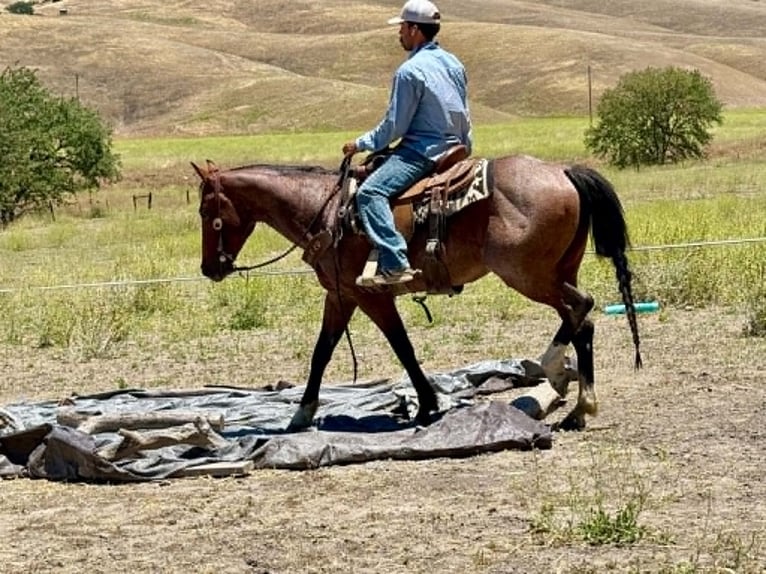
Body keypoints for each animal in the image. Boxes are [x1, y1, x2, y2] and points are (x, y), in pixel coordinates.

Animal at [191, 152, 642, 431]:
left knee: (581, 310)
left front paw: (427, 404)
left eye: (205, 211)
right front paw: (301, 414)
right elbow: (322, 352)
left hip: (528, 275)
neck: (327, 210)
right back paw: (574, 400)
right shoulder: (340, 296)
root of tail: (563, 171)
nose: (209, 268)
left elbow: (402, 347)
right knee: (580, 318)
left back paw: (567, 387)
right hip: (558, 270)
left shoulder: (372, 296)